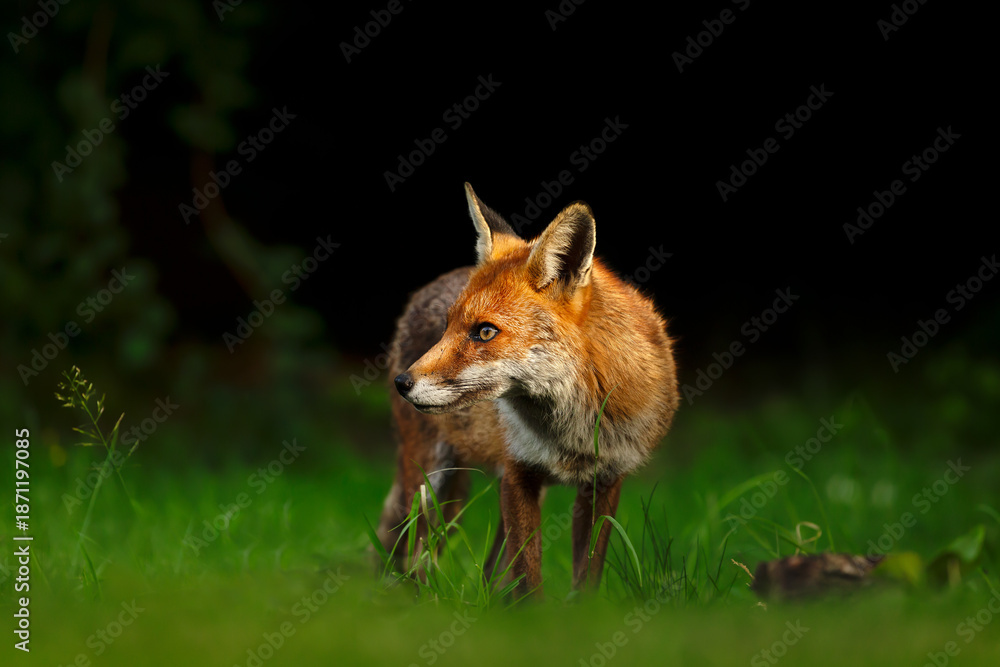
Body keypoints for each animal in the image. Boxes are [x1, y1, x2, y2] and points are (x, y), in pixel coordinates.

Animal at [376, 183, 679, 598]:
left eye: (485, 332)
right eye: (447, 327)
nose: (402, 383)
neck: (571, 430)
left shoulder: (605, 482)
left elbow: (586, 574)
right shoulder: (518, 471)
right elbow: (527, 577)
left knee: (483, 565)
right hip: (428, 481)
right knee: (415, 552)